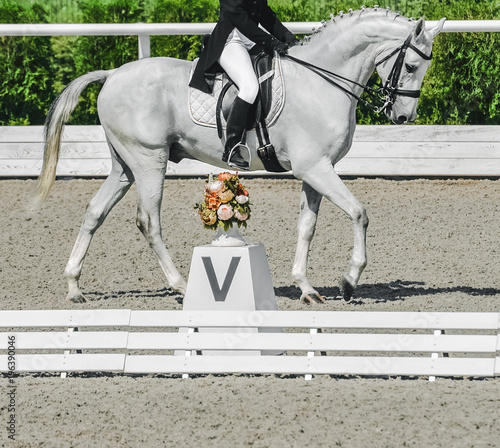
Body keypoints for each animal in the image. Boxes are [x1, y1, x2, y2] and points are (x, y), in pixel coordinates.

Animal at [35, 8, 444, 304]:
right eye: (410, 65)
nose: (403, 117)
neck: (321, 81)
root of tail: (113, 74)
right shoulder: (316, 168)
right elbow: (359, 213)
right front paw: (348, 281)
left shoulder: (315, 171)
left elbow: (307, 227)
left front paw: (307, 288)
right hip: (149, 160)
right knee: (149, 221)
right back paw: (180, 284)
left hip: (125, 166)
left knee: (95, 212)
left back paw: (74, 287)